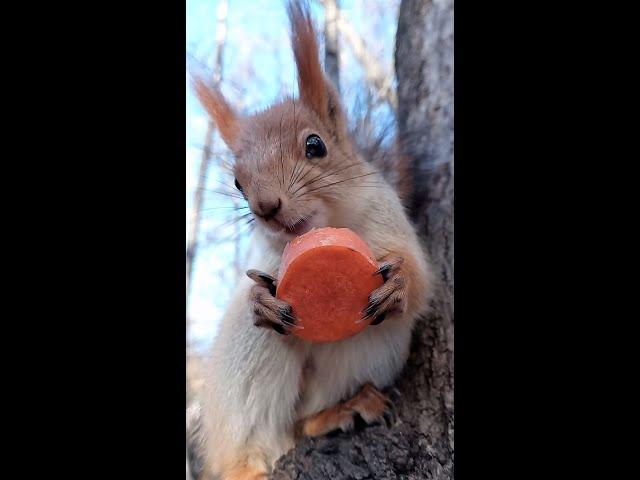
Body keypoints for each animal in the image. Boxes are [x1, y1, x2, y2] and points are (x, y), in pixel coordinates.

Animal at [188, 1, 432, 478]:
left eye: (315, 146)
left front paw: (400, 285)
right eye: (237, 182)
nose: (266, 207)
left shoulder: (389, 214)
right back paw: (249, 462)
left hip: (366, 345)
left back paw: (338, 411)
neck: (330, 223)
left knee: (305, 421)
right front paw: (257, 300)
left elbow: (422, 276)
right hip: (251, 360)